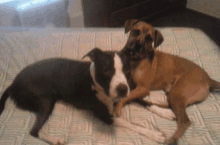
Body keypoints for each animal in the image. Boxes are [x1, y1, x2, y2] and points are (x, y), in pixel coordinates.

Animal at [0, 48, 165, 144]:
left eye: (127, 69)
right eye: (106, 71)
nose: (123, 89)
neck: (95, 82)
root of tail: (14, 82)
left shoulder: (127, 92)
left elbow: (142, 100)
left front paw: (165, 112)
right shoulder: (105, 115)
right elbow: (130, 124)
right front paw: (153, 134)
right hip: (46, 100)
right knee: (34, 131)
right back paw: (55, 139)